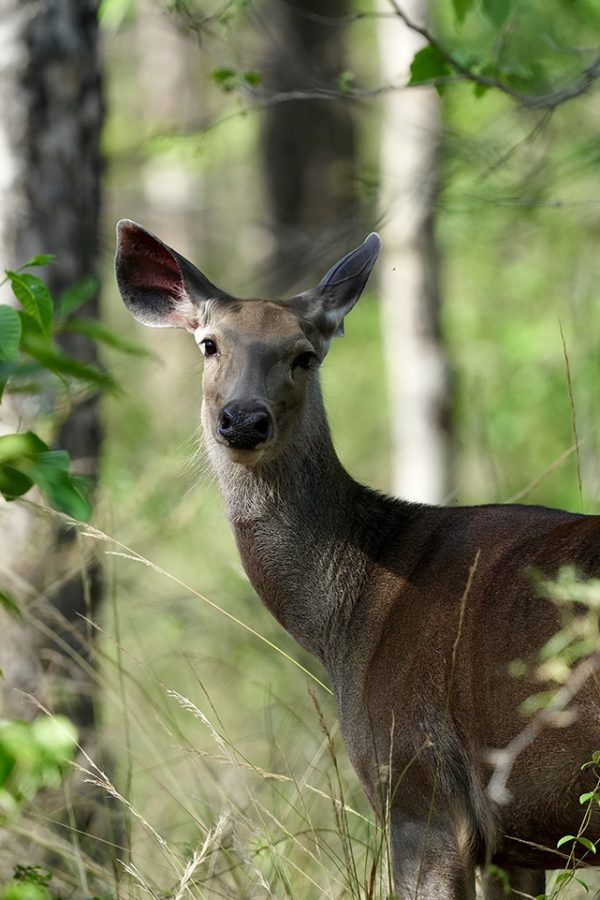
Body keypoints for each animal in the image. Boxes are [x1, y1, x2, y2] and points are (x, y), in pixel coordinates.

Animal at [113, 220, 600, 900]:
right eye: (209, 345)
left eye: (304, 354)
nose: (244, 419)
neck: (347, 614)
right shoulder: (518, 843)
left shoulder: (418, 784)